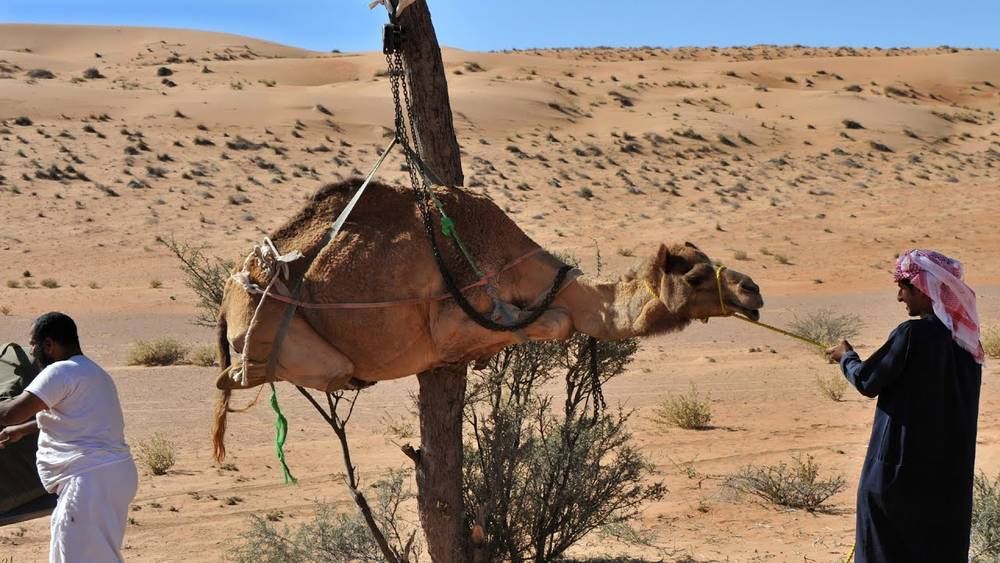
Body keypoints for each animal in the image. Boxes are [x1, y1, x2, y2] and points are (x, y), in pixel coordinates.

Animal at [213, 178, 764, 460]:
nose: (751, 289)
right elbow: (556, 321)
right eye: (696, 276)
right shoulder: (453, 317)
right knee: (242, 376)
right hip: (282, 339)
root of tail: (227, 293)